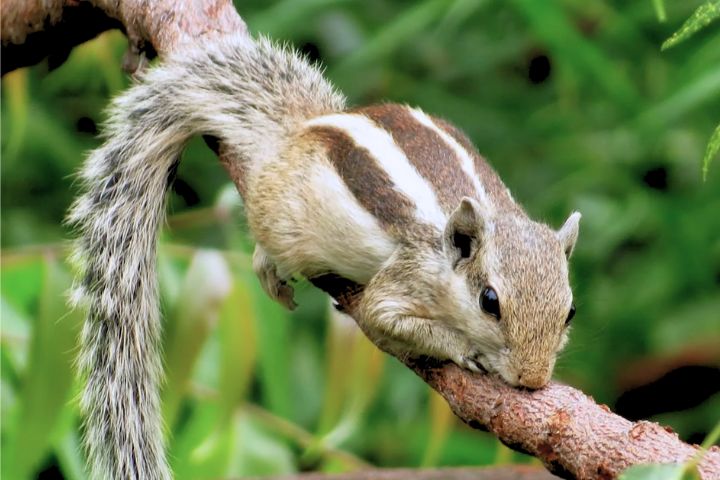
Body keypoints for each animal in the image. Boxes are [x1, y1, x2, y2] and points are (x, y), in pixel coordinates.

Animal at [67, 34, 584, 480]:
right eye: (489, 302)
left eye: (570, 311)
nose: (532, 379)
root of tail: (301, 127)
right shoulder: (407, 276)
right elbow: (382, 316)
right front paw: (466, 349)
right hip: (282, 220)